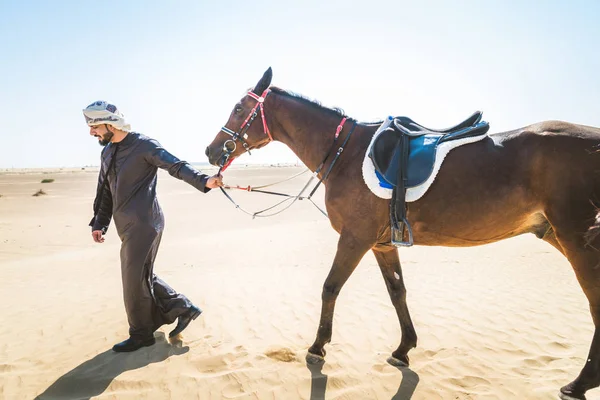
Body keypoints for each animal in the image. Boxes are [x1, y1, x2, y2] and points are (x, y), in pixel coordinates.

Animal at [205, 67, 600, 398]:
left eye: (239, 108)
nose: (211, 151)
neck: (346, 154)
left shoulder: (355, 238)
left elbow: (331, 287)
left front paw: (318, 347)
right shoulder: (381, 244)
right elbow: (398, 292)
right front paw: (404, 348)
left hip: (576, 240)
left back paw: (580, 383)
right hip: (556, 235)